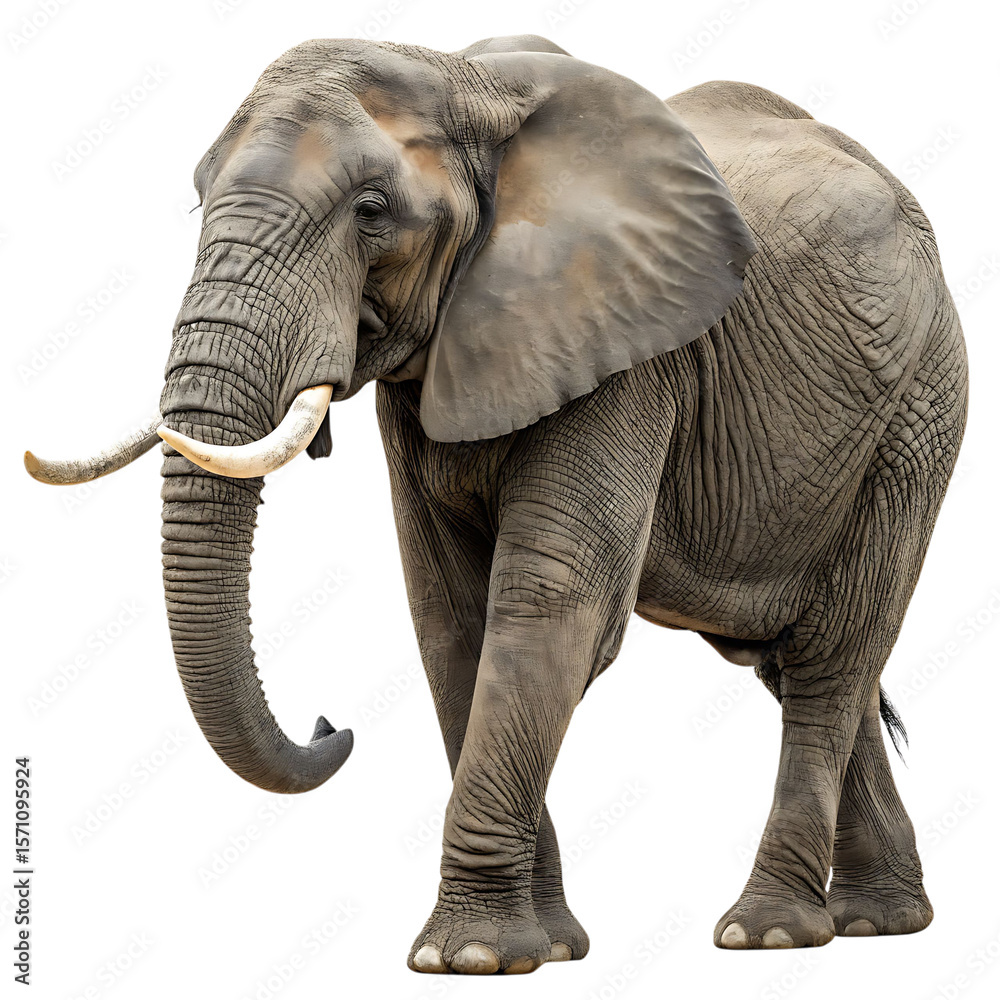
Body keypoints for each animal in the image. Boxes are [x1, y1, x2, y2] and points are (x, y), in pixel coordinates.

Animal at [25, 33, 968, 975]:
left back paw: (765, 931)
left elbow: (550, 599)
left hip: (920, 412)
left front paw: (468, 956)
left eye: (372, 211)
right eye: (197, 196)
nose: (330, 725)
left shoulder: (628, 350)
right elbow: (448, 615)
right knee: (796, 657)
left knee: (834, 652)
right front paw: (541, 947)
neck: (459, 77)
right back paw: (880, 921)